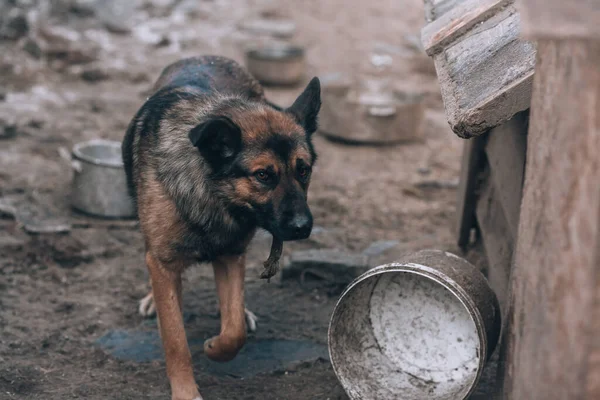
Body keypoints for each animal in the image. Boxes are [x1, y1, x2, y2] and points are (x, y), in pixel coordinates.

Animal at [120, 56, 322, 400]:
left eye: (303, 170)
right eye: (263, 175)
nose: (301, 227)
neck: (213, 195)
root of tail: (204, 57)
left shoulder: (230, 257)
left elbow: (234, 331)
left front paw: (215, 348)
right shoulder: (164, 263)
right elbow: (175, 340)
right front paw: (186, 393)